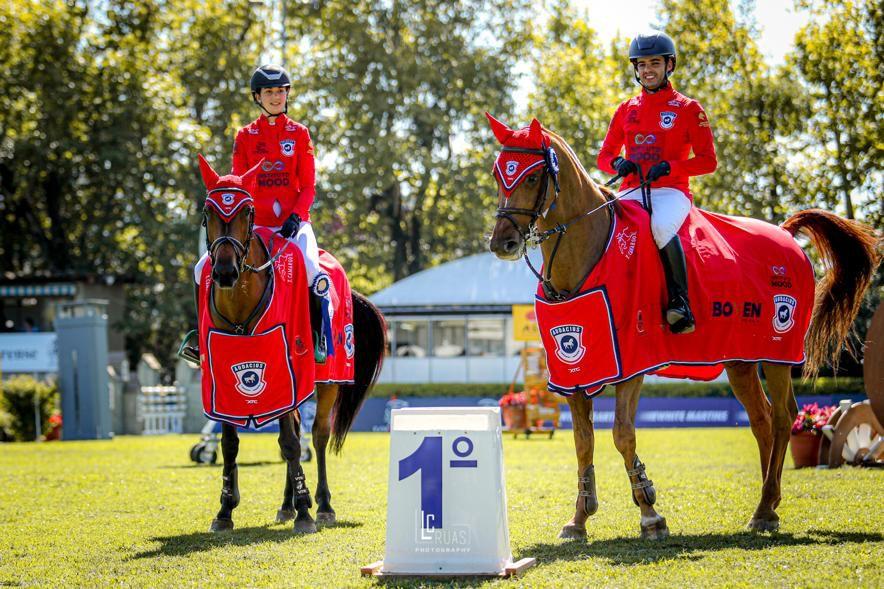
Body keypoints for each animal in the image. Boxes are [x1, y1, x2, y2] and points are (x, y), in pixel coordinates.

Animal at [197, 155, 384, 532]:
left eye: (248, 212)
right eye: (208, 211)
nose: (224, 272)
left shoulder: (285, 370)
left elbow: (292, 442)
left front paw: (306, 512)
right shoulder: (221, 379)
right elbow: (230, 443)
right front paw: (224, 510)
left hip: (326, 382)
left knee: (317, 434)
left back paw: (322, 504)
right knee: (295, 430)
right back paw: (286, 505)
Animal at [486, 113, 880, 536]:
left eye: (531, 176)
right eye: (498, 174)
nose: (502, 243)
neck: (585, 254)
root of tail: (787, 234)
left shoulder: (633, 364)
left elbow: (622, 434)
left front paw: (649, 512)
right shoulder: (575, 370)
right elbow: (582, 442)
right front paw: (579, 519)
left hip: (777, 354)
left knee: (782, 417)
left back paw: (765, 504)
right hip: (740, 360)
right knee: (761, 420)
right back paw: (766, 507)